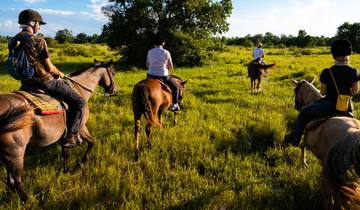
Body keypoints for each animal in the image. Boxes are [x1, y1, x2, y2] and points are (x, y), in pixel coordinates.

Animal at [0, 58, 116, 201]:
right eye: (113, 73)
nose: (114, 90)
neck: (79, 89)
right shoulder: (81, 128)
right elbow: (92, 142)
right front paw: (80, 164)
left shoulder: (65, 135)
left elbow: (66, 152)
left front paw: (65, 170)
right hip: (15, 153)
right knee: (15, 181)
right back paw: (29, 200)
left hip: (6, 156)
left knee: (10, 182)